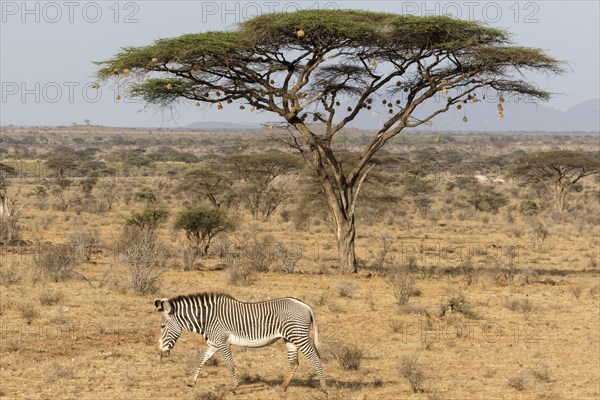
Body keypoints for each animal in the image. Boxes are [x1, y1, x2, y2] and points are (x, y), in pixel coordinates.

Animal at [152, 292, 326, 392]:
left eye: (162, 326)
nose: (160, 352)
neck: (208, 319)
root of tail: (306, 306)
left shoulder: (222, 342)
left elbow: (229, 363)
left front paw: (235, 388)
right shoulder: (213, 343)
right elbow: (201, 360)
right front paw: (191, 383)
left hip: (299, 336)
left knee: (315, 358)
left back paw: (324, 388)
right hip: (289, 338)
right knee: (294, 363)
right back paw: (282, 388)